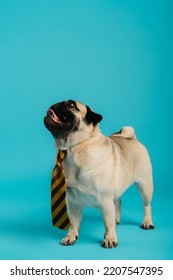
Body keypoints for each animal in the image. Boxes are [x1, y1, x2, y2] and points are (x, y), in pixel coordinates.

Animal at [43, 99, 154, 248]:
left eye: (71, 105)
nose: (57, 103)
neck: (74, 148)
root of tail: (132, 138)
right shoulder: (73, 202)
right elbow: (74, 222)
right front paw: (71, 236)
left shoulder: (105, 200)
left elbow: (107, 223)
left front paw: (110, 238)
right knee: (117, 202)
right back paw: (116, 219)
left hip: (145, 185)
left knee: (146, 205)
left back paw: (147, 222)